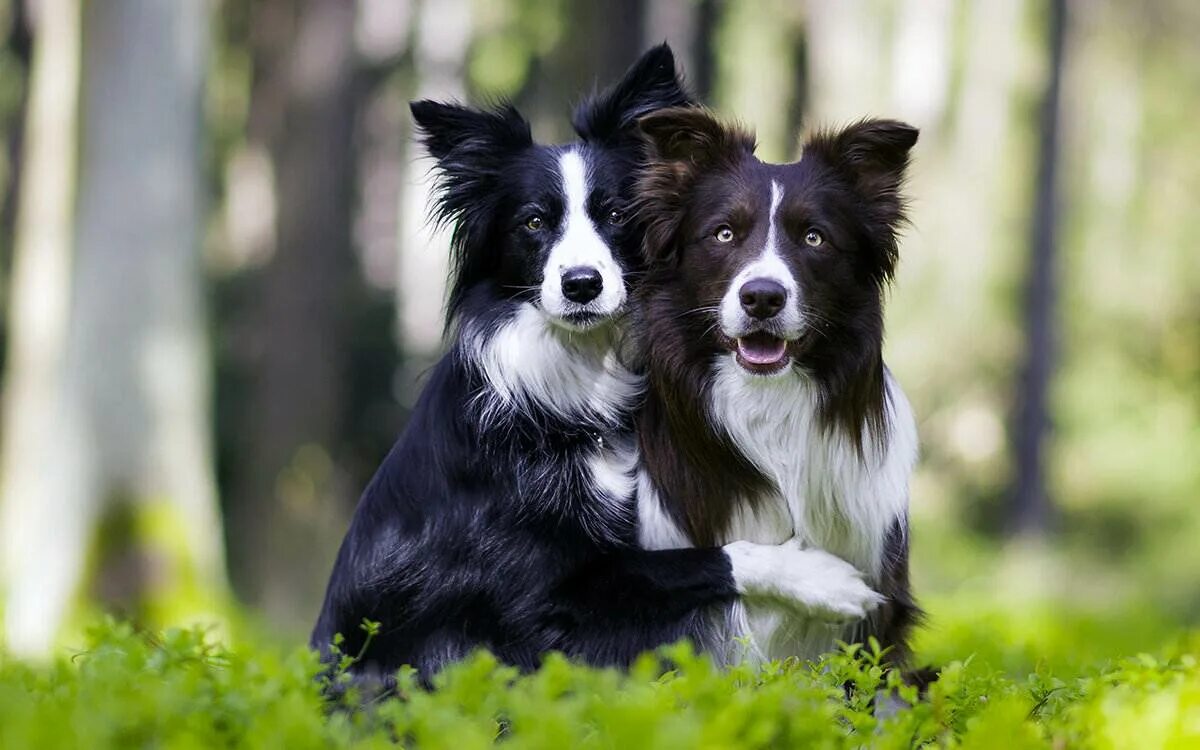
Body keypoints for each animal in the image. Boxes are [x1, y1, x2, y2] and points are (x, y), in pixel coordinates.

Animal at [304, 46, 878, 686]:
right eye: (533, 222)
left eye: (617, 213)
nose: (581, 284)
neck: (576, 378)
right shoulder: (541, 596)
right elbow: (706, 558)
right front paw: (823, 579)